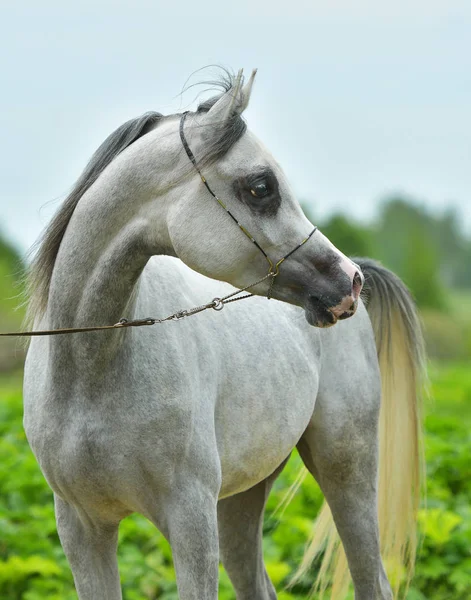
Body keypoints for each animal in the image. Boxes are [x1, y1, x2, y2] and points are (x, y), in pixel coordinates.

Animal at [24, 71, 426, 600]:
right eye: (261, 186)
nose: (348, 282)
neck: (88, 368)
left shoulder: (190, 522)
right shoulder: (82, 528)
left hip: (347, 470)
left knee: (372, 577)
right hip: (241, 499)